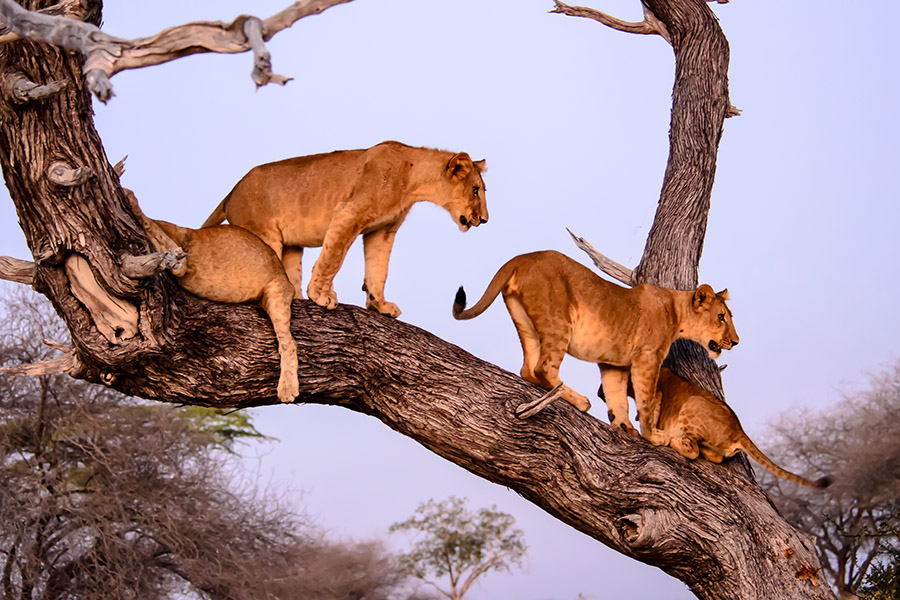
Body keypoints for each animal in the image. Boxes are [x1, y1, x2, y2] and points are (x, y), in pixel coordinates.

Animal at [125, 188, 298, 404]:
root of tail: (285, 277)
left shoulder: (181, 247)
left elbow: (152, 226)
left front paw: (129, 195)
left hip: (276, 293)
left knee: (289, 343)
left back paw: (287, 387)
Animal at [201, 141, 488, 318]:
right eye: (475, 190)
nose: (485, 220)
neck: (413, 178)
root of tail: (231, 193)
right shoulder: (348, 213)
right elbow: (332, 258)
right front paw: (321, 295)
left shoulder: (382, 231)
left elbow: (378, 270)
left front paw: (380, 304)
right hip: (263, 234)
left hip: (291, 246)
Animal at [450, 251, 740, 442]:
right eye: (721, 317)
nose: (736, 341)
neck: (677, 310)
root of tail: (522, 257)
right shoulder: (647, 359)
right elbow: (645, 401)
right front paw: (652, 436)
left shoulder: (614, 363)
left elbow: (617, 396)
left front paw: (624, 427)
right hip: (558, 320)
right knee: (545, 367)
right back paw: (580, 401)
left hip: (525, 323)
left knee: (528, 369)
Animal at [600, 368, 832, 490]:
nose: (599, 393)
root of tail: (739, 430)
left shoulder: (656, 393)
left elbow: (649, 416)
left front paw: (647, 433)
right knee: (714, 456)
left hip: (693, 403)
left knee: (692, 450)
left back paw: (672, 440)